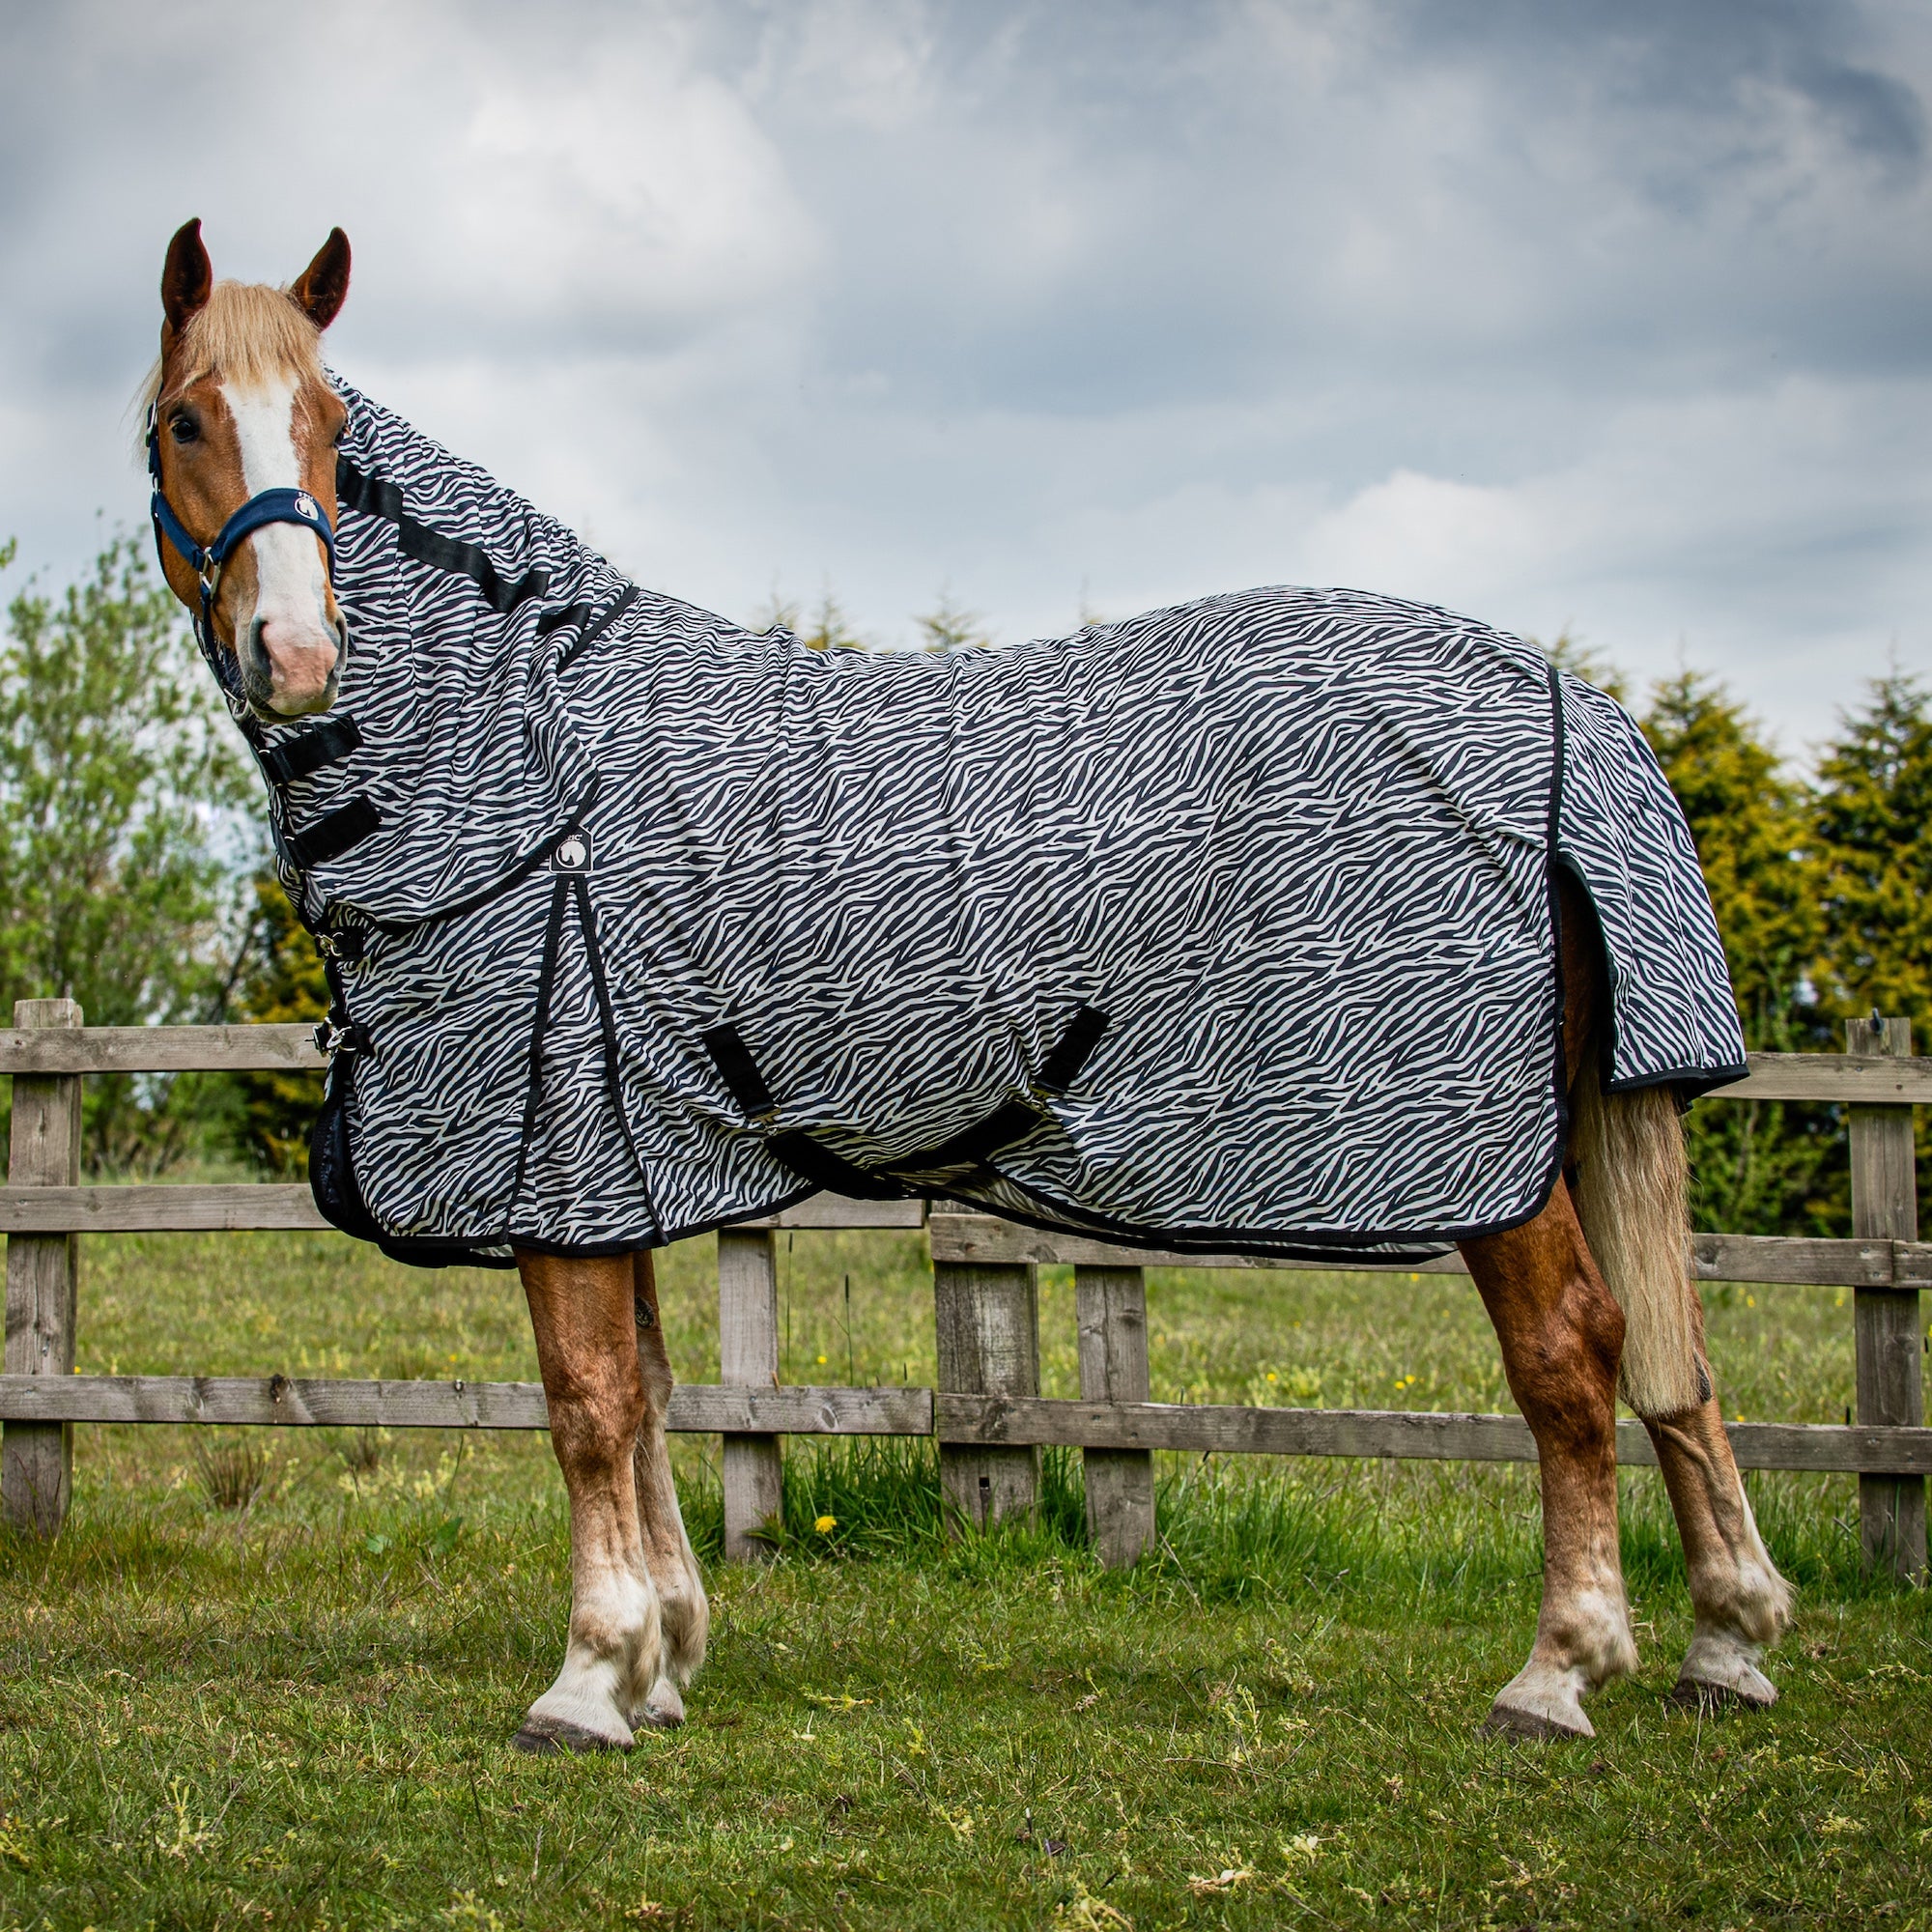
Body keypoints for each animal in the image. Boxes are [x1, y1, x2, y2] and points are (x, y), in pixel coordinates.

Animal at [142, 217, 1791, 1751]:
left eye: (332, 431)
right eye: (187, 421)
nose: (297, 651)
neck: (531, 748)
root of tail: (1564, 699)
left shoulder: (554, 1161)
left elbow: (587, 1404)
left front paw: (589, 1678)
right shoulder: (616, 1160)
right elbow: (653, 1393)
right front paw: (665, 1659)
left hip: (1494, 1162)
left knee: (1574, 1354)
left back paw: (1560, 1670)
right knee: (1677, 1357)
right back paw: (1726, 1643)